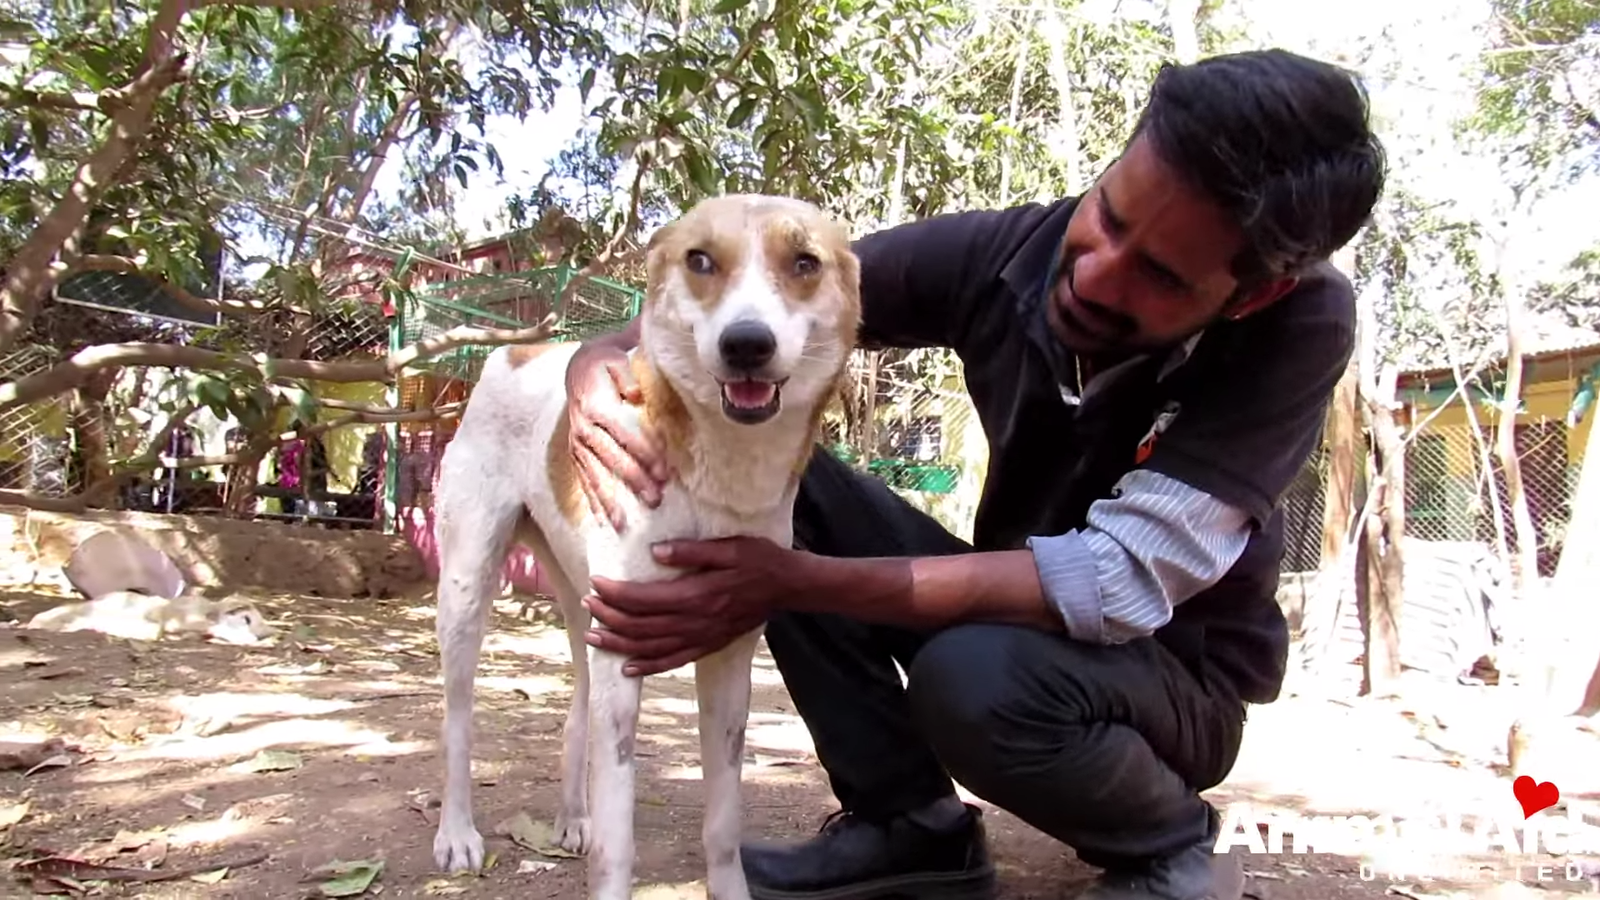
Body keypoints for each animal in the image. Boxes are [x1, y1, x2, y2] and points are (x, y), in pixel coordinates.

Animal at [428, 192, 864, 890]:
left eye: (804, 262)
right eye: (700, 260)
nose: (746, 344)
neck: (722, 472)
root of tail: (518, 352)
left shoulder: (729, 650)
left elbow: (722, 825)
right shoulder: (624, 656)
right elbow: (619, 841)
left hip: (585, 607)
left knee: (577, 702)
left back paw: (571, 818)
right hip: (468, 586)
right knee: (459, 718)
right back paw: (458, 834)